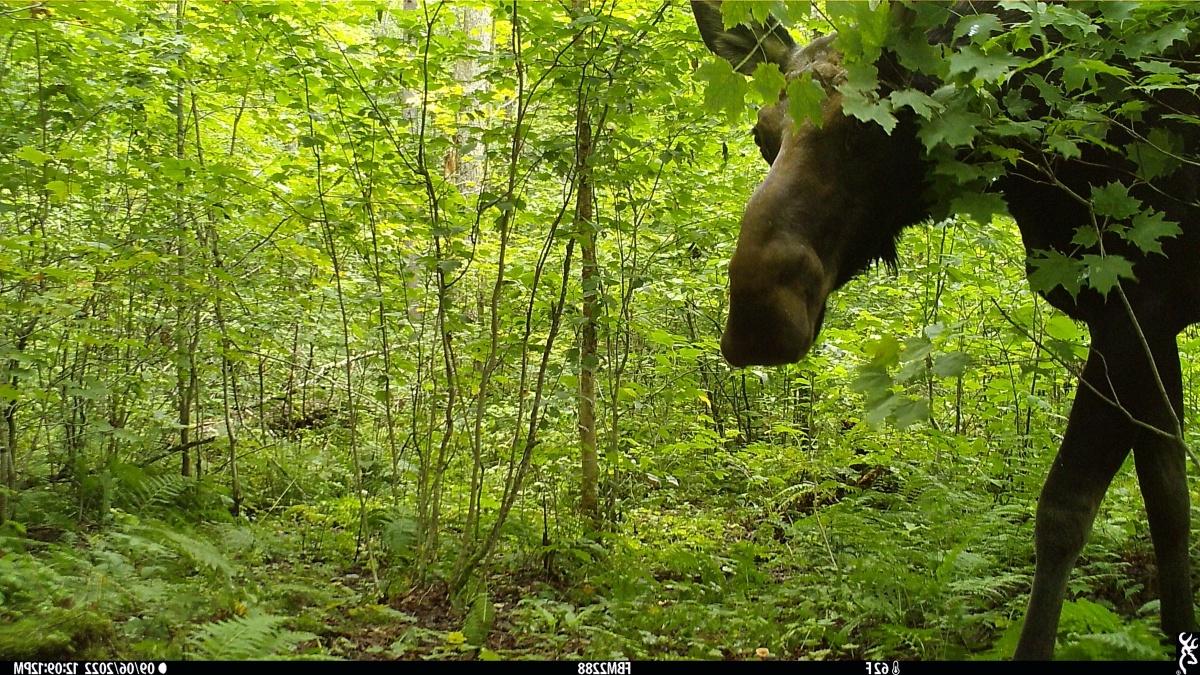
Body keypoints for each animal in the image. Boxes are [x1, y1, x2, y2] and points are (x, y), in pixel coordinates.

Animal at [691, 0, 1200, 653]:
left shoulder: (1138, 305)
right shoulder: (1148, 320)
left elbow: (1064, 510)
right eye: (762, 134)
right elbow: (1170, 500)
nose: (758, 316)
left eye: (872, 127)